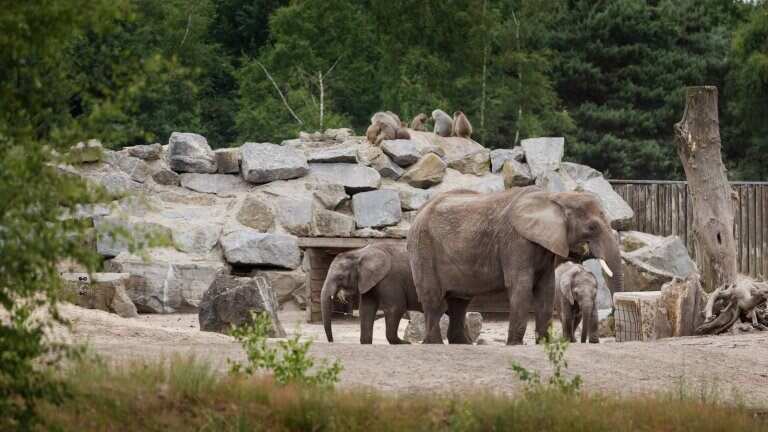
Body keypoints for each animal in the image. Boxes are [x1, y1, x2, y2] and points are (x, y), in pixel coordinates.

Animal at [408, 186, 624, 344]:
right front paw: (514, 344)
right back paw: (434, 343)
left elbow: (546, 288)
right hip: (423, 248)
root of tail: (418, 213)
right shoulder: (516, 241)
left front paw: (543, 344)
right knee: (433, 300)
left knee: (459, 302)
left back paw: (461, 344)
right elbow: (521, 286)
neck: (554, 197)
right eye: (592, 227)